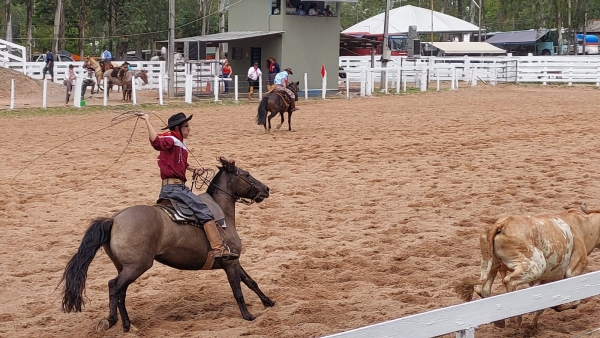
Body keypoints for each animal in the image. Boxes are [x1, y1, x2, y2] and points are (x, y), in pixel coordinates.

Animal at [57, 158, 274, 332]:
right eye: (246, 174)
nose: (266, 189)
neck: (222, 215)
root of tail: (114, 220)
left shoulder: (234, 260)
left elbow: (251, 282)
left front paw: (269, 302)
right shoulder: (229, 263)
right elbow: (238, 290)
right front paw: (248, 316)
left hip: (125, 267)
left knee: (120, 292)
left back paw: (125, 323)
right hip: (137, 267)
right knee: (114, 287)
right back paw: (116, 322)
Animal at [454, 206, 600, 332]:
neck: (582, 226)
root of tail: (502, 224)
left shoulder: (548, 279)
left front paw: (533, 325)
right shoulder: (573, 271)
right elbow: (575, 301)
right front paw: (557, 307)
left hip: (490, 264)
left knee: (482, 288)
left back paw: (500, 321)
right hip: (535, 266)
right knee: (509, 281)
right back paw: (515, 319)